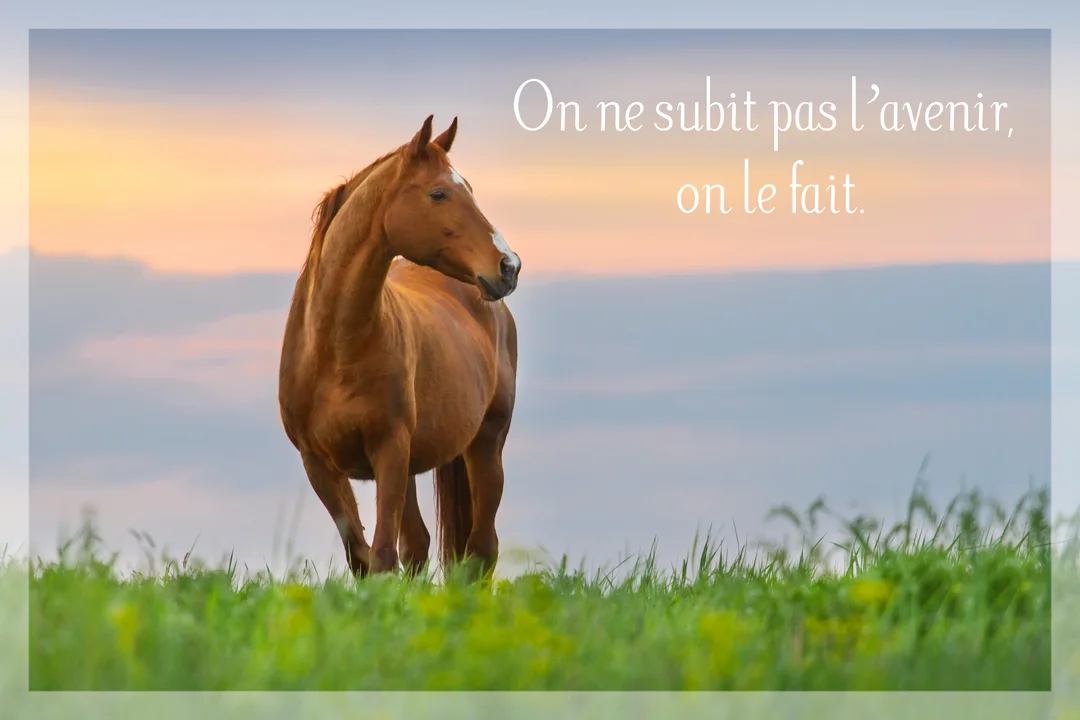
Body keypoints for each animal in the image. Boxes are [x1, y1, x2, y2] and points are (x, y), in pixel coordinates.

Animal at [277, 115, 521, 581]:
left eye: (469, 189)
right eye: (438, 193)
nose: (509, 267)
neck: (336, 350)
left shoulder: (389, 451)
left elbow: (384, 555)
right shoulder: (319, 465)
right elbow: (364, 557)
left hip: (486, 446)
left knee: (482, 550)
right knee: (421, 545)